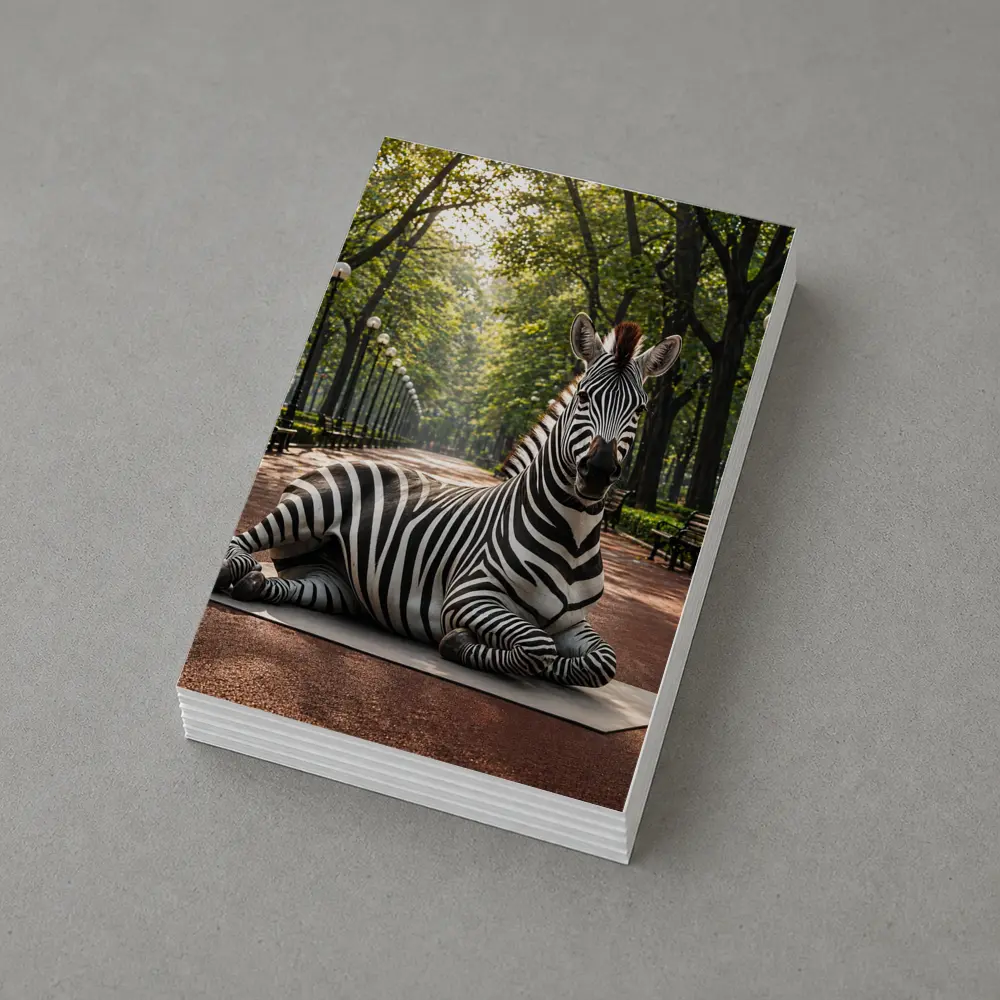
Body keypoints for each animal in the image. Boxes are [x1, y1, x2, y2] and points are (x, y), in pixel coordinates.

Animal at [214, 314, 681, 687]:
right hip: (307, 510)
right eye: (584, 396)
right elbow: (537, 645)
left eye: (640, 409)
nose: (599, 471)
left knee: (280, 583)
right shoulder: (469, 595)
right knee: (239, 544)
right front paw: (458, 643)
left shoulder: (574, 623)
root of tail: (347, 458)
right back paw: (230, 570)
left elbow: (603, 663)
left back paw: (254, 582)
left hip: (336, 585)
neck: (573, 535)